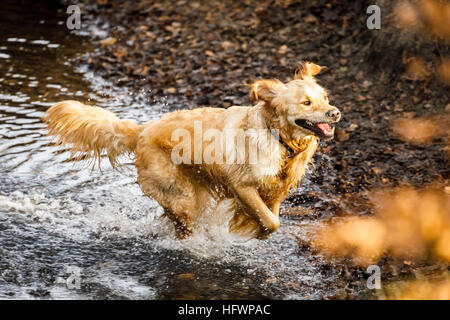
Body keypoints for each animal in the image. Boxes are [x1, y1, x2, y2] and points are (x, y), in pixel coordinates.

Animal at [44, 62, 342, 240]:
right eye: (306, 103)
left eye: (325, 97)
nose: (335, 112)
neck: (278, 136)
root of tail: (142, 130)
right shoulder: (241, 185)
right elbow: (271, 220)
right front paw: (255, 231)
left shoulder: (278, 187)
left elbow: (273, 213)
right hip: (180, 195)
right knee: (184, 222)